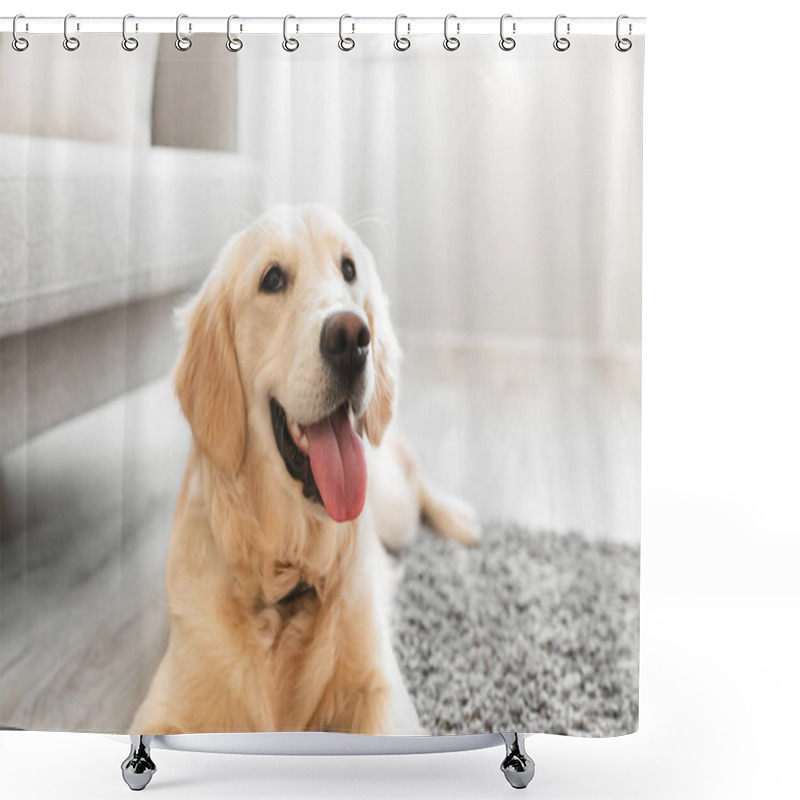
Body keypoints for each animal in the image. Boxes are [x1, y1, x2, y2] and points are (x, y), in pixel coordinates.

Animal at [130, 203, 478, 736]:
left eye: (349, 269)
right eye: (272, 279)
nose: (352, 338)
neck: (287, 569)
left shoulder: (380, 689)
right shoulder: (163, 705)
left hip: (393, 504)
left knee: (415, 476)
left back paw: (459, 517)